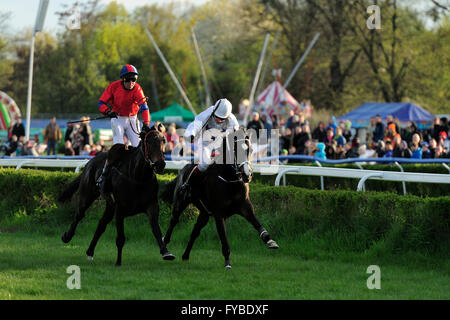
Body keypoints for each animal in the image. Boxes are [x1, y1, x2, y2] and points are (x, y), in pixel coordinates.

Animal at [58, 126, 174, 266]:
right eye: (149, 142)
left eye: (163, 140)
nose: (160, 165)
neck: (138, 177)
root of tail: (90, 162)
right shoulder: (120, 209)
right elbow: (120, 238)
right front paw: (118, 262)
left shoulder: (151, 205)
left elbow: (157, 230)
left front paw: (166, 252)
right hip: (88, 195)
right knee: (79, 215)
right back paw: (67, 236)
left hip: (110, 205)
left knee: (101, 224)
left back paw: (90, 252)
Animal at [158, 129, 278, 268]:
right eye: (236, 149)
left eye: (251, 150)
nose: (247, 175)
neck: (230, 181)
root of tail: (183, 169)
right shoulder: (219, 214)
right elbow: (223, 238)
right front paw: (227, 263)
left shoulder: (245, 207)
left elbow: (257, 223)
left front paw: (270, 241)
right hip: (181, 202)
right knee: (174, 221)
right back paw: (164, 244)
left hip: (204, 213)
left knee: (195, 231)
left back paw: (185, 256)